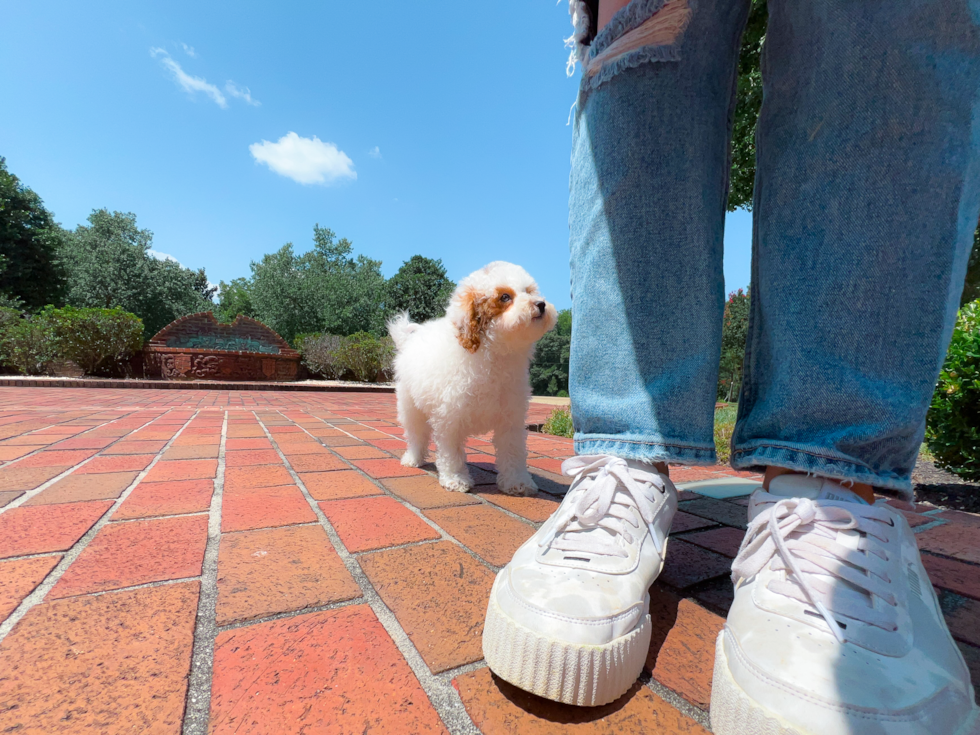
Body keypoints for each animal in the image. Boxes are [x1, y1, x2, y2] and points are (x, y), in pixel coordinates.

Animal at [390, 262, 560, 498]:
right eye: (505, 297)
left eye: (529, 291)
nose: (541, 304)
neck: (494, 354)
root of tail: (409, 339)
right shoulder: (449, 417)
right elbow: (451, 452)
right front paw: (455, 479)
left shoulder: (512, 418)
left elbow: (513, 451)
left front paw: (517, 482)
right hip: (409, 404)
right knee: (416, 433)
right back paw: (413, 459)